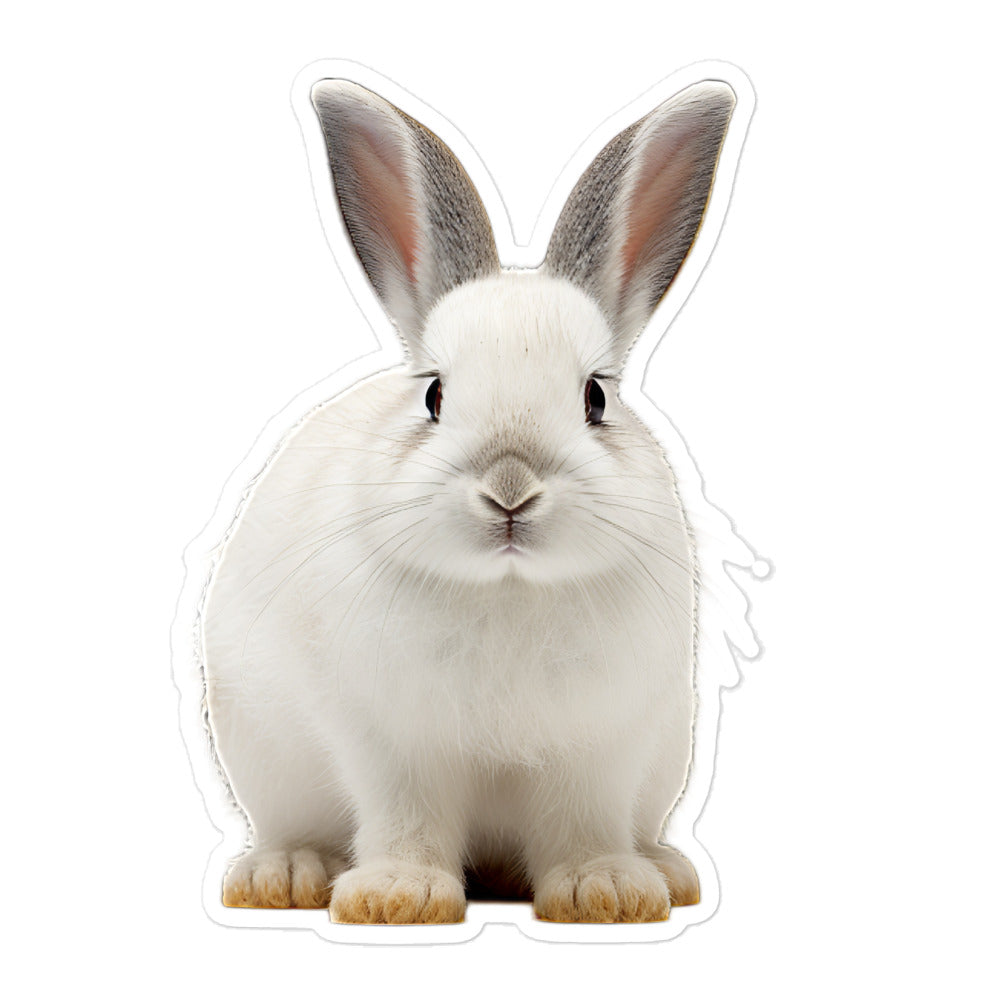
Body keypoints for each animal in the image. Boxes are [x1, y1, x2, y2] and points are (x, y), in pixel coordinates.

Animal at [201, 75, 738, 924]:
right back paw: (283, 875)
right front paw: (397, 898)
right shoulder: (392, 749)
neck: (507, 590)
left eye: (595, 397)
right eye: (433, 394)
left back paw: (665, 868)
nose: (510, 489)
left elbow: (583, 824)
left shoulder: (596, 752)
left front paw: (606, 892)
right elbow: (406, 820)